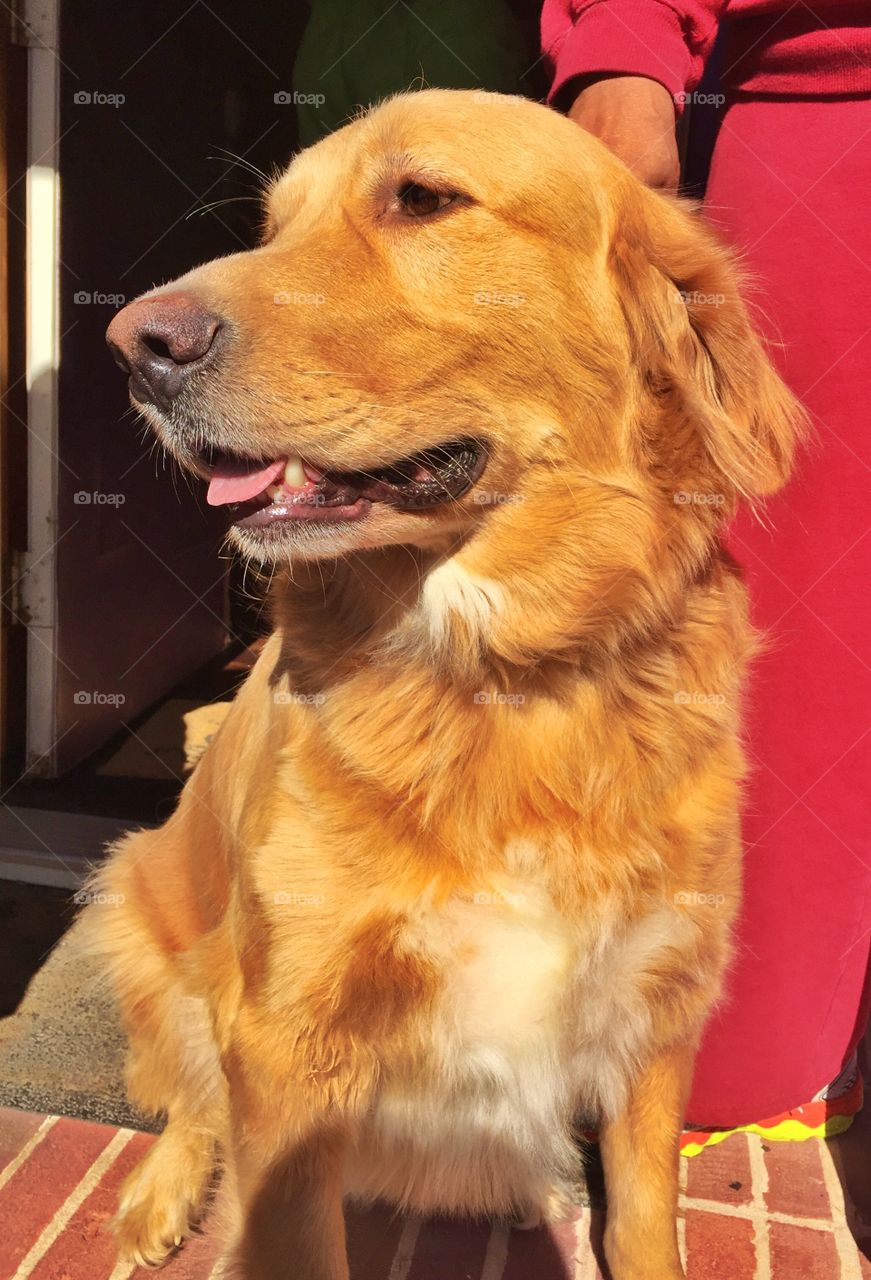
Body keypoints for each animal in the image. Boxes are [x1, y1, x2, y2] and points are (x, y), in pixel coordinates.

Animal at [96, 92, 804, 1280]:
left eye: (421, 199)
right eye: (274, 226)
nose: (135, 344)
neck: (504, 677)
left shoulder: (655, 1003)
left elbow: (643, 1218)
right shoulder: (285, 1046)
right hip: (138, 902)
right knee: (186, 1094)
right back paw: (158, 1193)